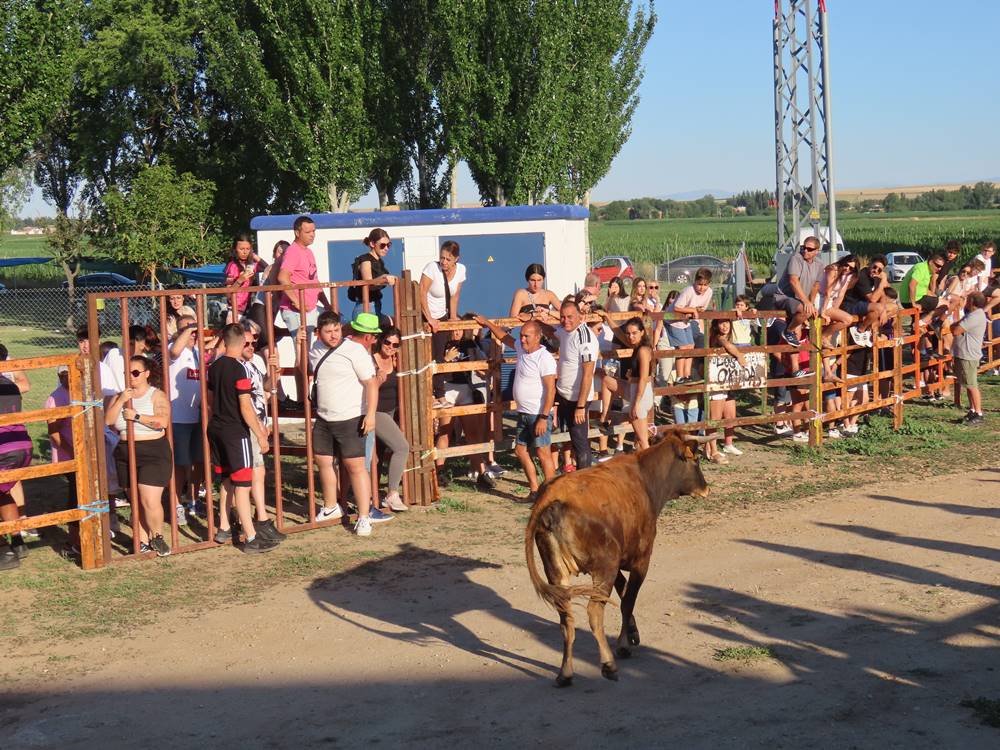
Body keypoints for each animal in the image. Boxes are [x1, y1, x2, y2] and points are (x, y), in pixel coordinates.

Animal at [524, 428, 712, 688]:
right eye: (696, 460)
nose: (706, 489)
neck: (645, 478)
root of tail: (551, 498)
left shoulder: (619, 562)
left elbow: (623, 592)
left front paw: (632, 633)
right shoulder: (641, 559)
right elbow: (628, 600)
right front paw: (623, 644)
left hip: (556, 572)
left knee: (566, 618)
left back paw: (565, 673)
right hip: (603, 567)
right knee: (594, 611)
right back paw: (608, 665)